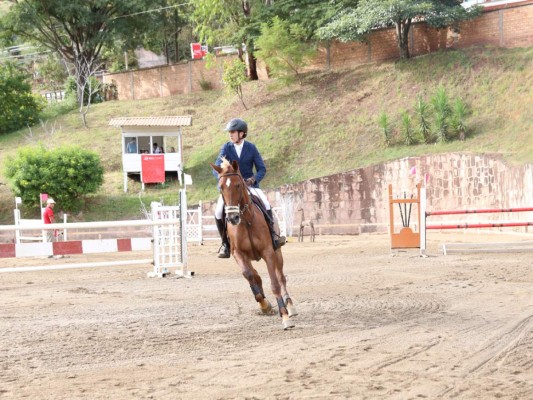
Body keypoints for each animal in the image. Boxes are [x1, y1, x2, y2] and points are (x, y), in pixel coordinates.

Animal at [211, 158, 296, 330]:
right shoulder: (238, 254)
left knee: (281, 277)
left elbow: (275, 284)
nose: (232, 218)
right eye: (221, 187)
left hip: (277, 253)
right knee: (255, 275)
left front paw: (284, 316)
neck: (246, 220)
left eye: (238, 185)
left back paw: (290, 306)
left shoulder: (268, 252)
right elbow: (250, 276)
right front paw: (264, 305)